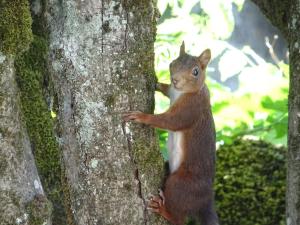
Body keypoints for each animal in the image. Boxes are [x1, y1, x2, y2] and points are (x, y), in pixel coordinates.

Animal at [123, 42, 219, 225]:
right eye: (173, 62)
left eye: (196, 71)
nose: (175, 80)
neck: (181, 92)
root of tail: (205, 200)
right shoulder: (173, 92)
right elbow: (167, 90)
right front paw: (158, 84)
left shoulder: (191, 109)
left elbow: (171, 122)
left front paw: (142, 117)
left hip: (180, 183)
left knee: (178, 218)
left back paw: (163, 210)